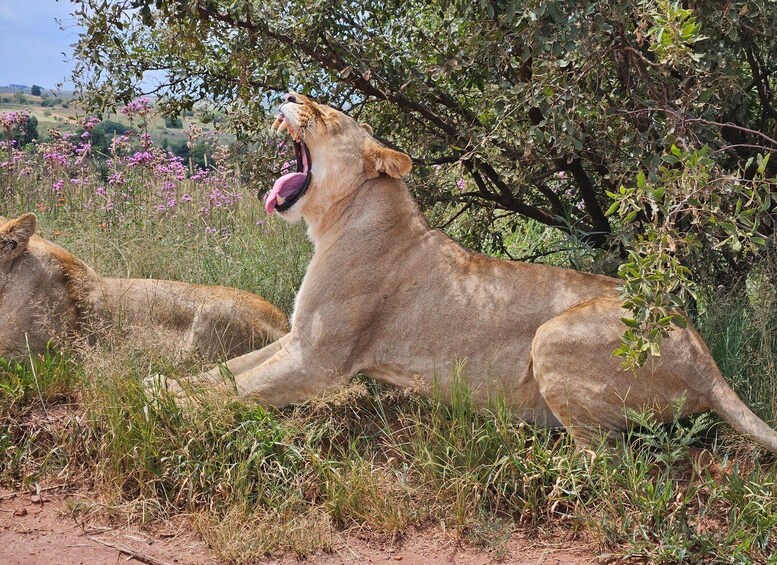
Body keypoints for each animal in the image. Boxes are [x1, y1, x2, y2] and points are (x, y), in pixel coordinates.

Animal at [166, 92, 776, 454]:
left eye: (326, 114)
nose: (290, 96)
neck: (340, 219)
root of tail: (703, 353)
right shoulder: (296, 341)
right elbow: (224, 372)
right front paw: (160, 382)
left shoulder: (318, 361)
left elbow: (235, 389)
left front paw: (164, 407)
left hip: (552, 337)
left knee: (604, 457)